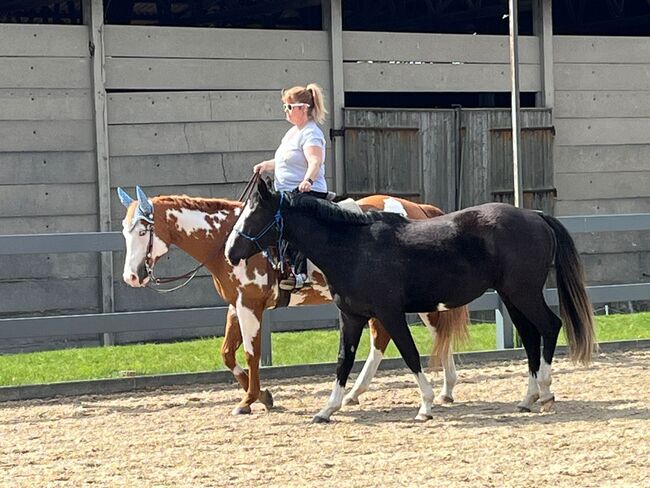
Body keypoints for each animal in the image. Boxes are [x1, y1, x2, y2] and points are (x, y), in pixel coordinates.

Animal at [119, 185, 468, 414]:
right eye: (124, 230)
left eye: (142, 231)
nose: (132, 277)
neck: (227, 239)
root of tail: (418, 209)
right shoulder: (235, 305)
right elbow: (227, 354)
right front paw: (261, 395)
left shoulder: (250, 305)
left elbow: (251, 353)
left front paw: (249, 400)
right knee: (381, 340)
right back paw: (355, 393)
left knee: (437, 332)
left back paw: (447, 389)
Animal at [225, 180, 596, 424]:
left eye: (255, 214)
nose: (230, 252)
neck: (353, 248)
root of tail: (535, 215)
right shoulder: (352, 316)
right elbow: (344, 360)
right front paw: (327, 409)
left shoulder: (390, 313)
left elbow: (410, 355)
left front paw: (426, 406)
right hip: (512, 296)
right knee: (531, 337)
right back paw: (527, 398)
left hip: (524, 293)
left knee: (550, 326)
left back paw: (545, 393)